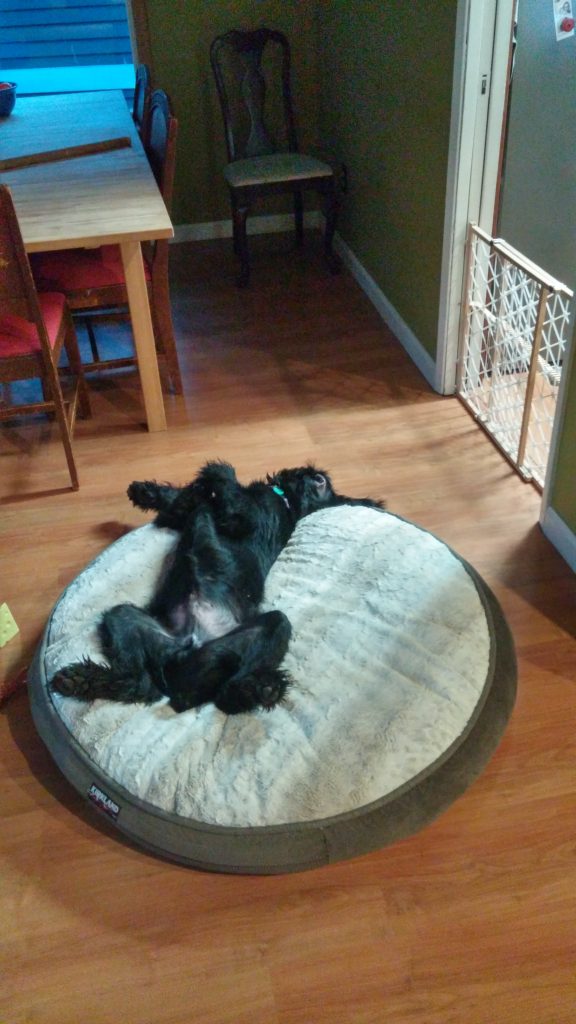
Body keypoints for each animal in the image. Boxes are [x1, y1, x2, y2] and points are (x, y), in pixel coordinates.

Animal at [51, 461, 384, 715]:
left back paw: (259, 689)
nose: (309, 472)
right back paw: (82, 680)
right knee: (141, 685)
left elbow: (225, 481)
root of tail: (185, 654)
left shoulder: (245, 517)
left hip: (272, 627)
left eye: (320, 480)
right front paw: (147, 490)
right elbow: (182, 502)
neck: (287, 502)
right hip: (124, 618)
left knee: (225, 697)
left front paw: (210, 476)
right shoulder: (180, 516)